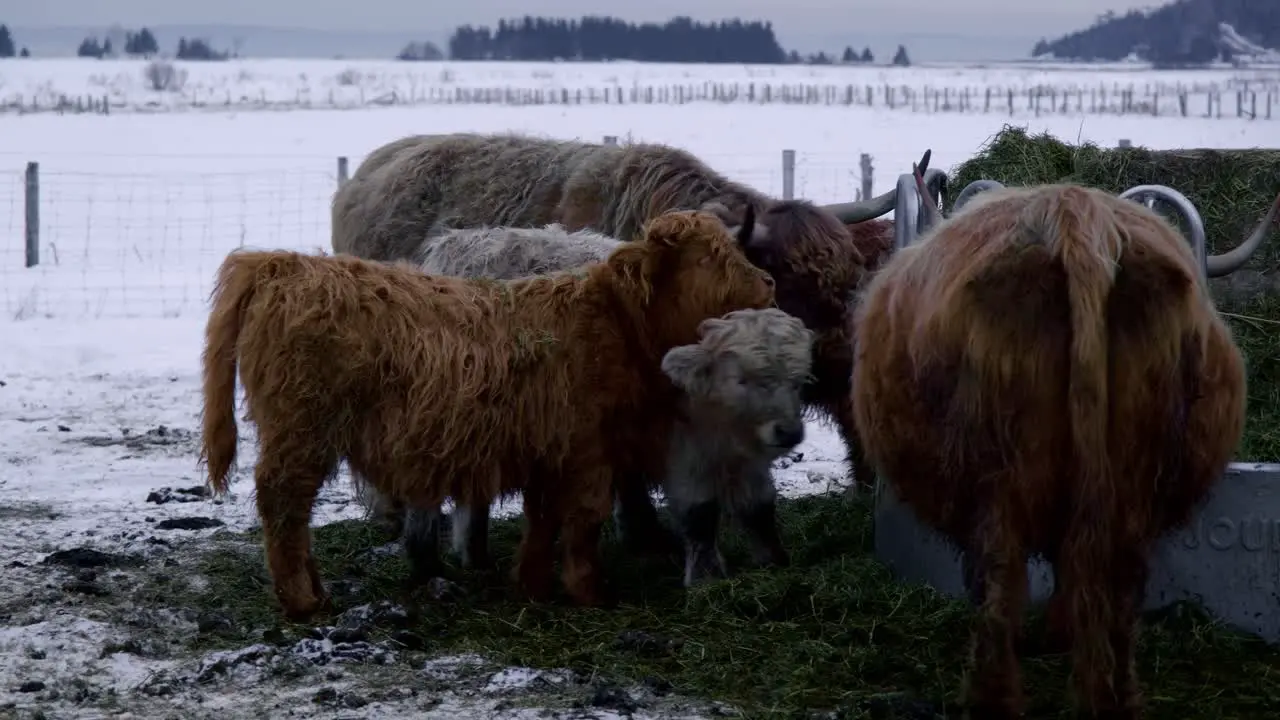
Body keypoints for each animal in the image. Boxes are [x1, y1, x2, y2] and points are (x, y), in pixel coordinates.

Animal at [195, 210, 773, 620]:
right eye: (709, 258)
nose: (767, 282)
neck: (620, 324)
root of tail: (283, 264)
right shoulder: (588, 452)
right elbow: (582, 524)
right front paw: (590, 591)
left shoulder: (551, 453)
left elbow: (543, 521)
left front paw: (533, 585)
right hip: (301, 432)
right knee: (283, 507)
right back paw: (303, 601)